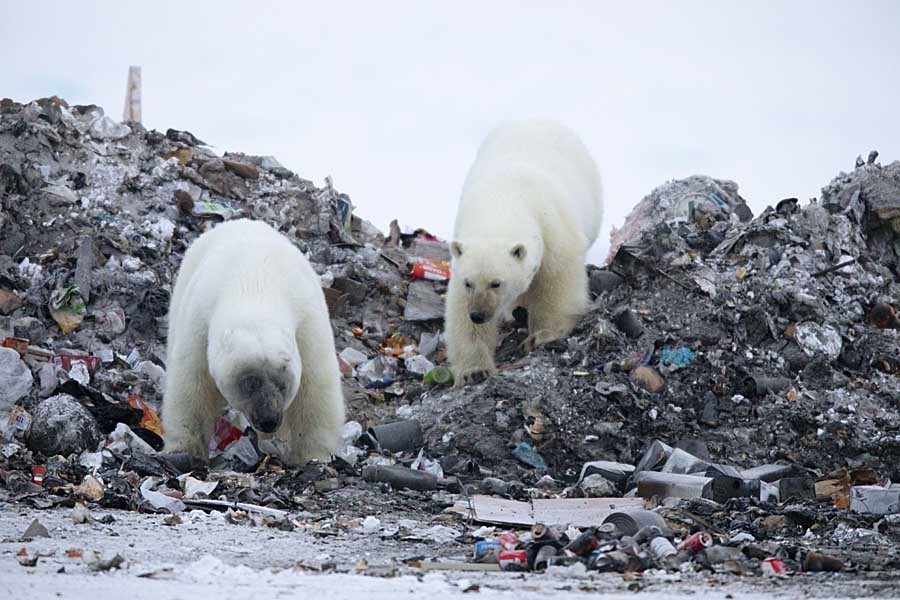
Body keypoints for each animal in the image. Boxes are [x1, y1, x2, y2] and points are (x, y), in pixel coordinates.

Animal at [162, 219, 344, 464]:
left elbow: (316, 387)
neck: (254, 286)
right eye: (249, 383)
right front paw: (185, 450)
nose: (269, 419)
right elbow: (192, 385)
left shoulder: (308, 322)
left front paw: (312, 456)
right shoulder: (199, 321)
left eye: (284, 383)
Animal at [444, 120, 600, 384]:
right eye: (469, 283)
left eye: (496, 283)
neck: (503, 201)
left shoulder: (553, 228)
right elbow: (459, 310)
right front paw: (475, 370)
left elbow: (557, 282)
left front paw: (542, 335)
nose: (478, 315)